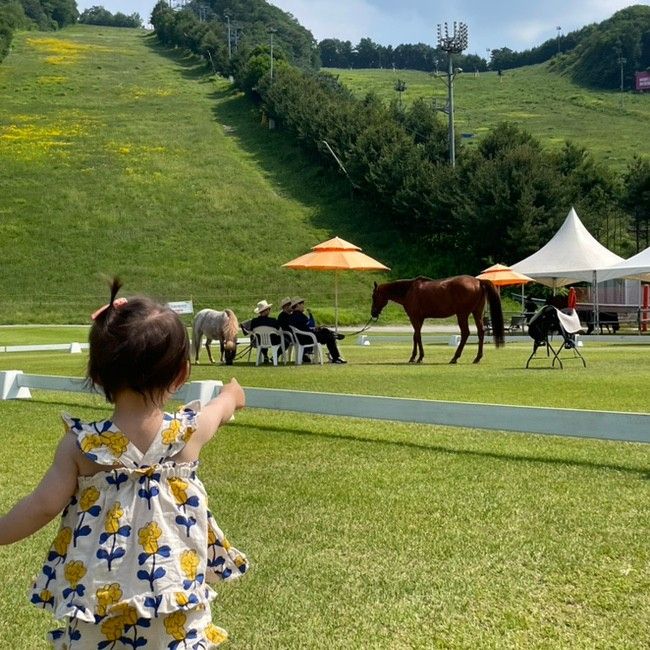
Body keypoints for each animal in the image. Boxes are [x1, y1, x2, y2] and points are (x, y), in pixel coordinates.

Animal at [370, 274, 502, 362]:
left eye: (374, 296)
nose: (373, 313)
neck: (409, 290)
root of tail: (478, 281)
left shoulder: (414, 318)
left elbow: (417, 336)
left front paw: (419, 357)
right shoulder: (420, 319)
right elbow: (415, 336)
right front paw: (414, 357)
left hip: (462, 315)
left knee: (465, 333)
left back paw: (455, 357)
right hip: (476, 313)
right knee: (480, 332)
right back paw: (477, 357)